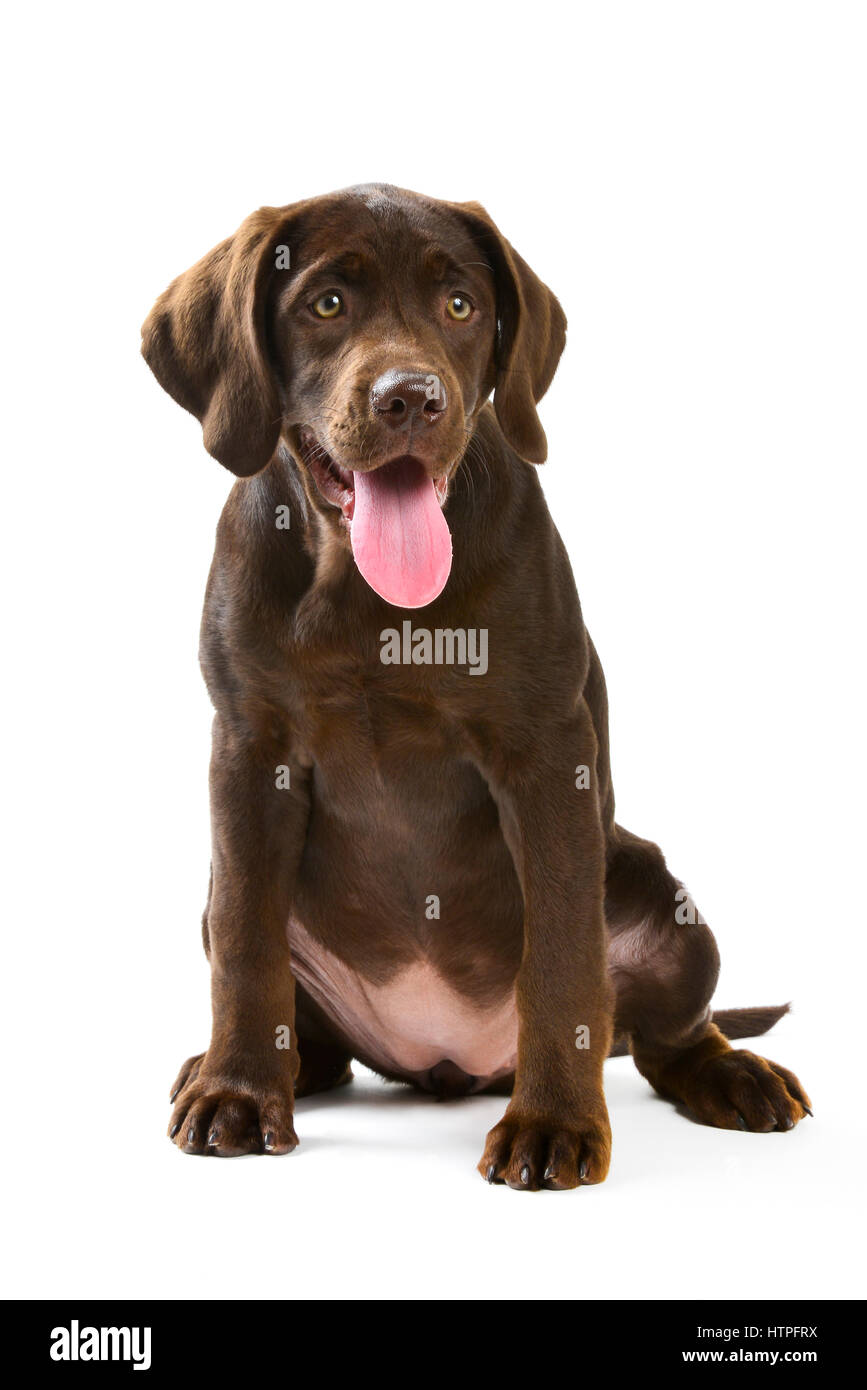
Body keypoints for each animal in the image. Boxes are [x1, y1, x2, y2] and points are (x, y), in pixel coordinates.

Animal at [142, 179, 811, 1189]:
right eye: (325, 304)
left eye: (460, 306)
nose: (411, 398)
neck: (369, 601)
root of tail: (446, 1061)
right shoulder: (247, 751)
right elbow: (247, 951)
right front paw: (238, 1094)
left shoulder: (545, 755)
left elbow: (562, 960)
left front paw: (555, 1124)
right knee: (300, 1018)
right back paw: (248, 1067)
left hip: (666, 903)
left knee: (662, 1036)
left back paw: (733, 1076)